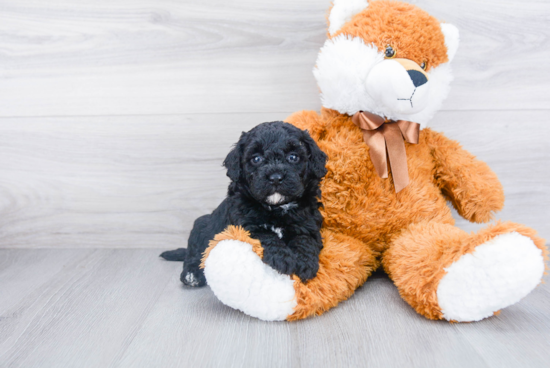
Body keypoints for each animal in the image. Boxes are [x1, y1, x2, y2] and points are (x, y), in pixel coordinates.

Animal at [162, 122, 330, 286]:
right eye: (256, 159)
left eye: (293, 157)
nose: (275, 177)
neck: (276, 208)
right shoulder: (244, 225)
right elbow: (265, 235)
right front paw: (283, 258)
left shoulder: (308, 223)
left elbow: (305, 240)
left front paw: (304, 263)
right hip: (200, 227)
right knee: (195, 254)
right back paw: (192, 274)